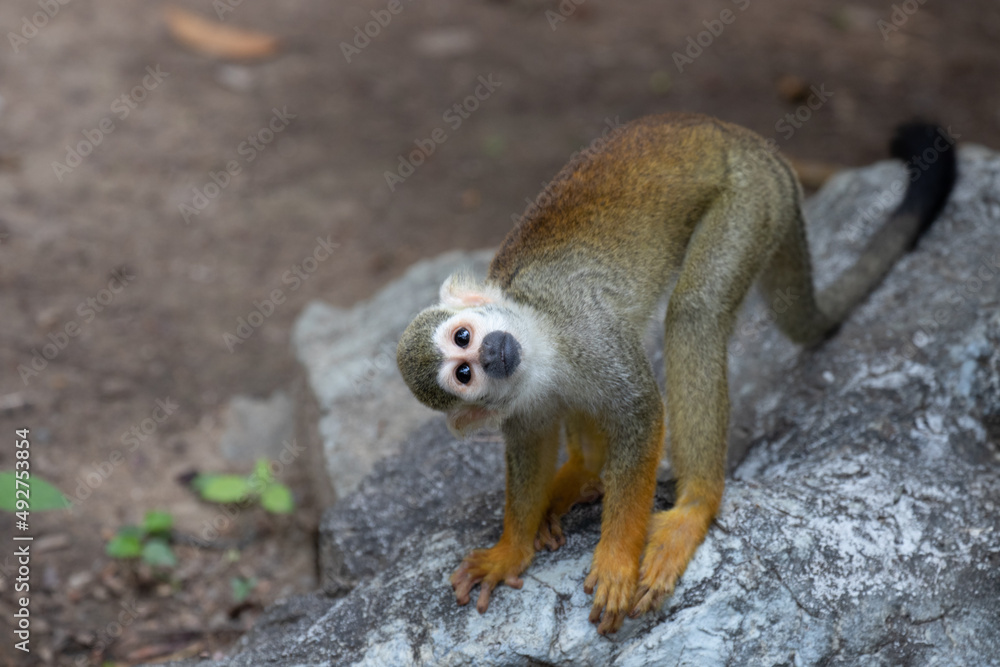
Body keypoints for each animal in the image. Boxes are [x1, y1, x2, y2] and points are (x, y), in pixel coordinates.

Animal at [396, 113, 956, 634]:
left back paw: (695, 507)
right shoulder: (518, 402)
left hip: (751, 198)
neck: (541, 346)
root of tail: (738, 135)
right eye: (464, 374)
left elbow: (641, 413)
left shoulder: (584, 326)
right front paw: (510, 549)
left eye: (462, 338)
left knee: (695, 312)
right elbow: (531, 446)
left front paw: (617, 559)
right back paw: (583, 471)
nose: (494, 354)